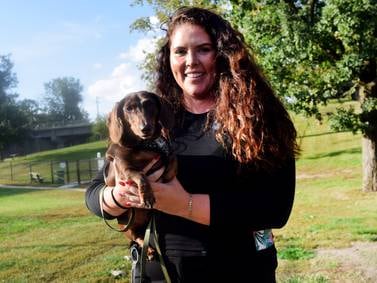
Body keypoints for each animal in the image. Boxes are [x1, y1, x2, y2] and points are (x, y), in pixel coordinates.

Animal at [103, 91, 177, 253]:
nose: (145, 128)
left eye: (149, 104)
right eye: (129, 109)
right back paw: (147, 249)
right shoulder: (124, 169)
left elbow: (173, 160)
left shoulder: (166, 152)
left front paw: (167, 176)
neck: (146, 145)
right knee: (137, 237)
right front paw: (147, 196)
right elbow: (141, 175)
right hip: (127, 226)